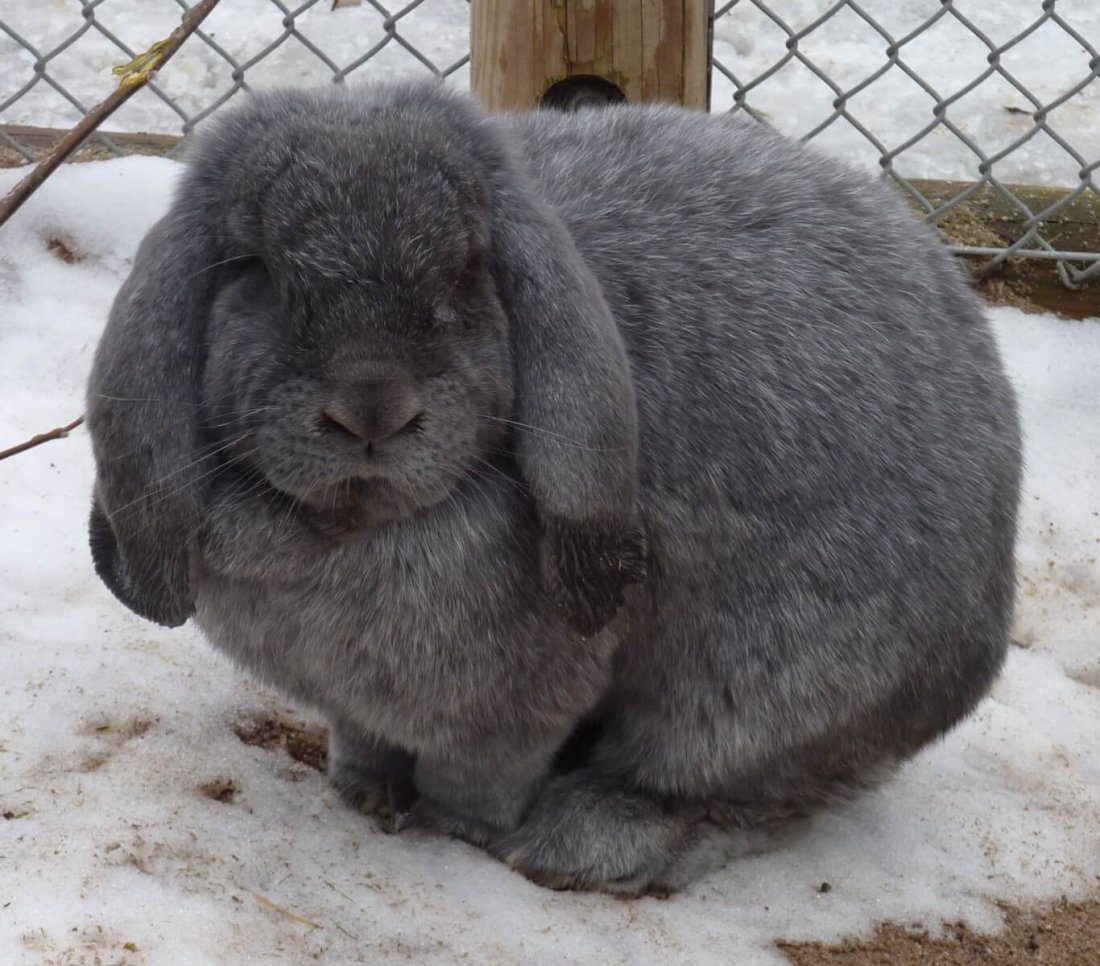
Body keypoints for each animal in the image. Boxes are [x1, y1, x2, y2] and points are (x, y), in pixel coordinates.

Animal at [86, 79, 1022, 895]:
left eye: (468, 269)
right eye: (252, 269)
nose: (371, 409)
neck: (342, 531)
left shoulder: (511, 709)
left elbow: (482, 773)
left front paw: (450, 830)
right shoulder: (359, 706)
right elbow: (365, 742)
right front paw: (362, 794)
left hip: (762, 693)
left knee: (736, 793)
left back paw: (583, 842)